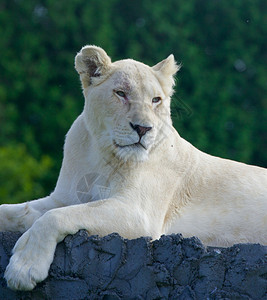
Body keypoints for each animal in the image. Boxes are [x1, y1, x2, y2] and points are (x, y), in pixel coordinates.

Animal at [1, 45, 267, 290]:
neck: (101, 154)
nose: (143, 128)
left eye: (156, 100)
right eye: (121, 93)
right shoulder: (63, 197)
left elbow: (55, 217)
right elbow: (19, 211)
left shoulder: (139, 214)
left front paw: (24, 268)